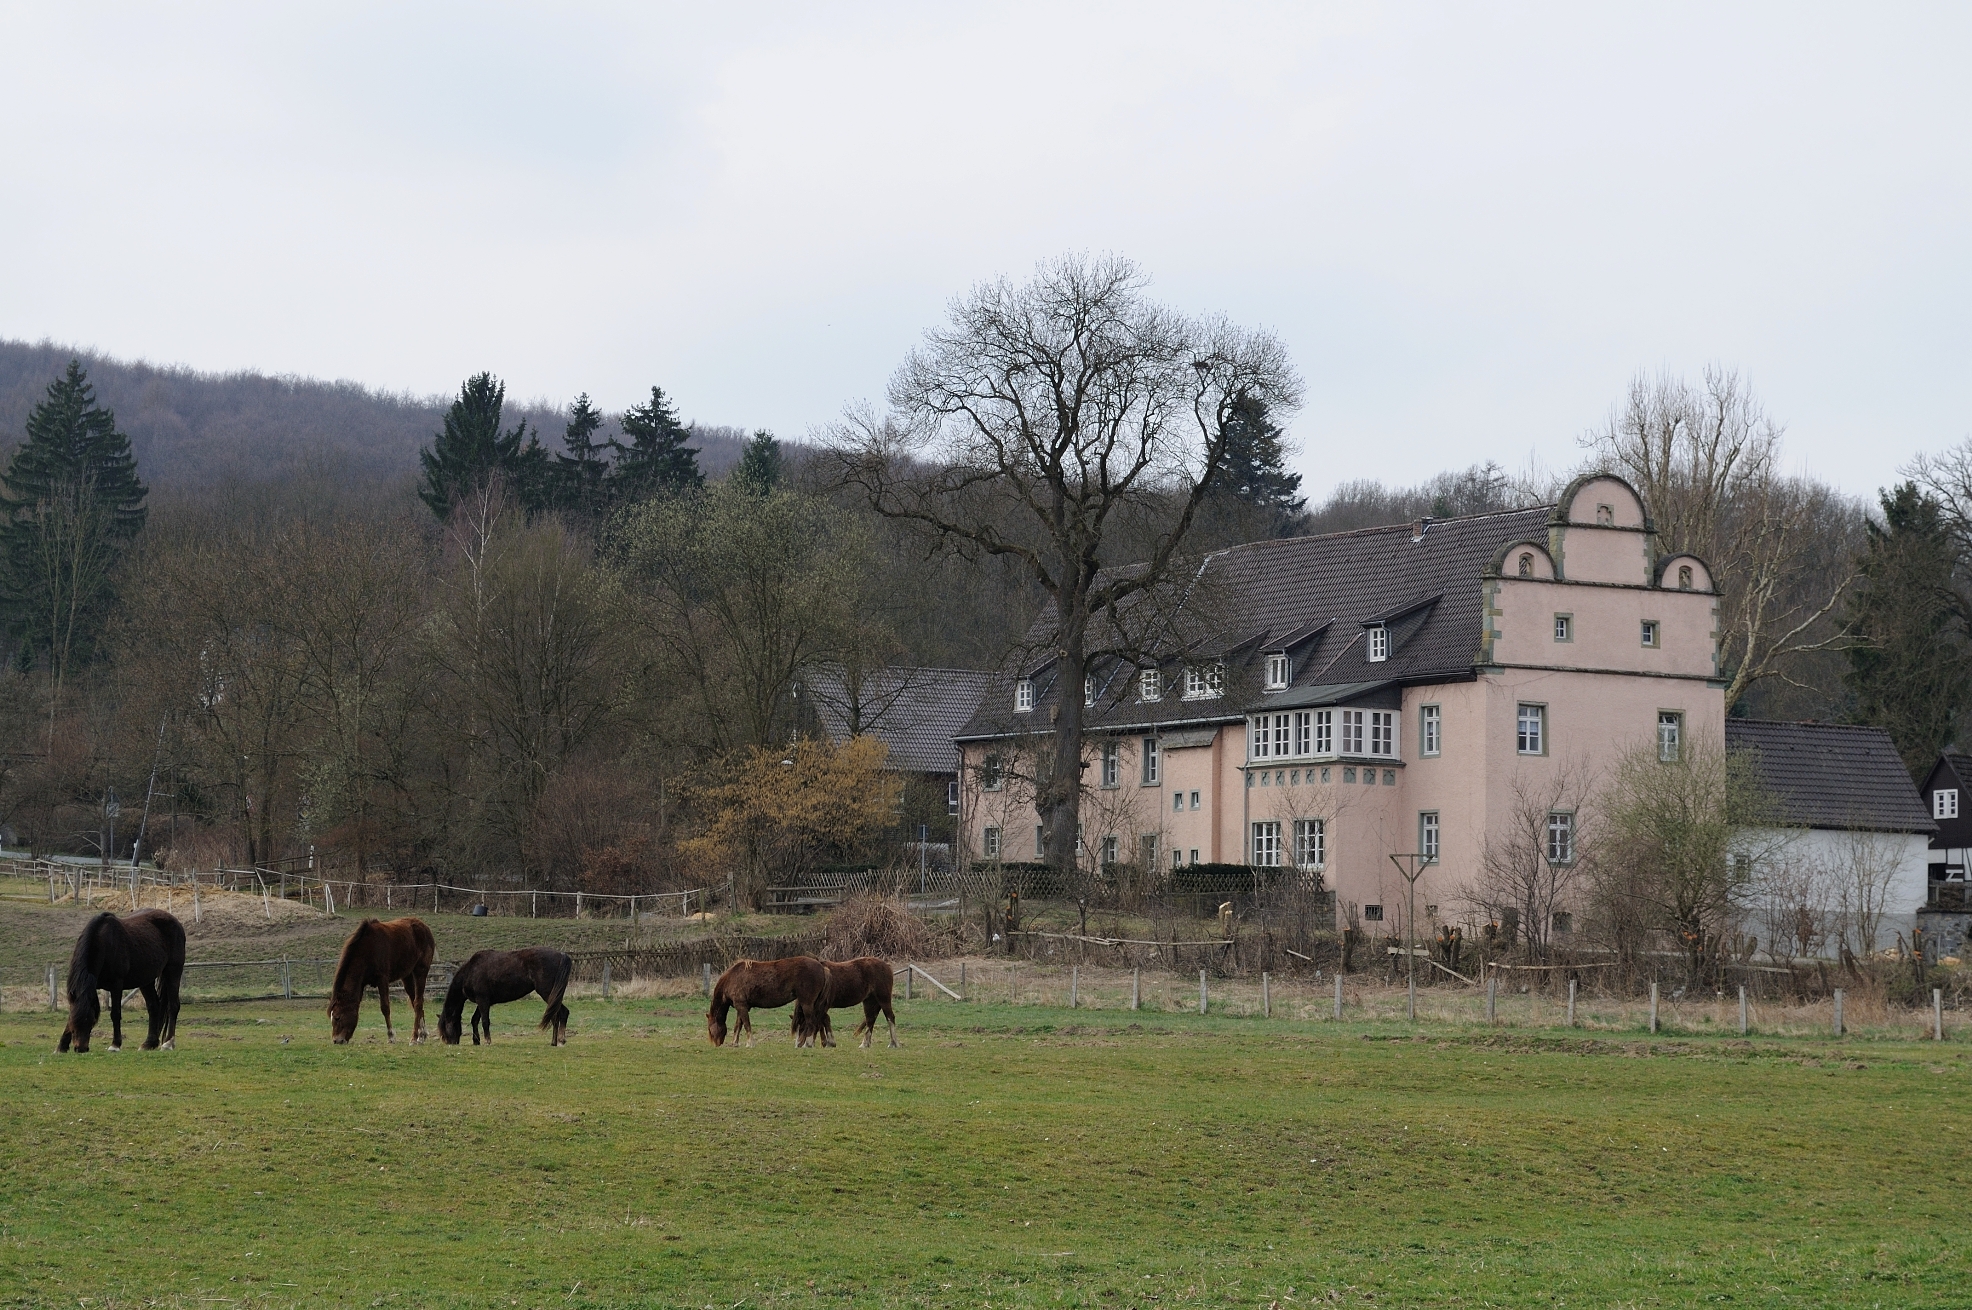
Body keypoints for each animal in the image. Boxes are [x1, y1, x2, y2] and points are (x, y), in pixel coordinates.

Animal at [56, 911, 184, 1057]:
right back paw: (149, 1043)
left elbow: (115, 1014)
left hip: (173, 971)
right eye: (75, 1022)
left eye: (92, 1020)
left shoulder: (116, 985)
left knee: (173, 1006)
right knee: (154, 1006)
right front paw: (61, 1046)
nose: (80, 1048)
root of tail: (175, 921)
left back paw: (168, 1043)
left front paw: (115, 1045)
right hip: (146, 980)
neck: (103, 944)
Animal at [437, 946, 571, 1049]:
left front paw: (487, 1041)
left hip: (548, 993)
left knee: (563, 1013)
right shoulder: (483, 1002)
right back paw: (553, 1042)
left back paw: (561, 1040)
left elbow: (485, 1021)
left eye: (446, 1026)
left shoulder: (483, 1001)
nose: (450, 1043)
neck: (471, 971)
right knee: (555, 1016)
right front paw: (476, 1041)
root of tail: (561, 954)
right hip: (553, 997)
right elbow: (474, 1019)